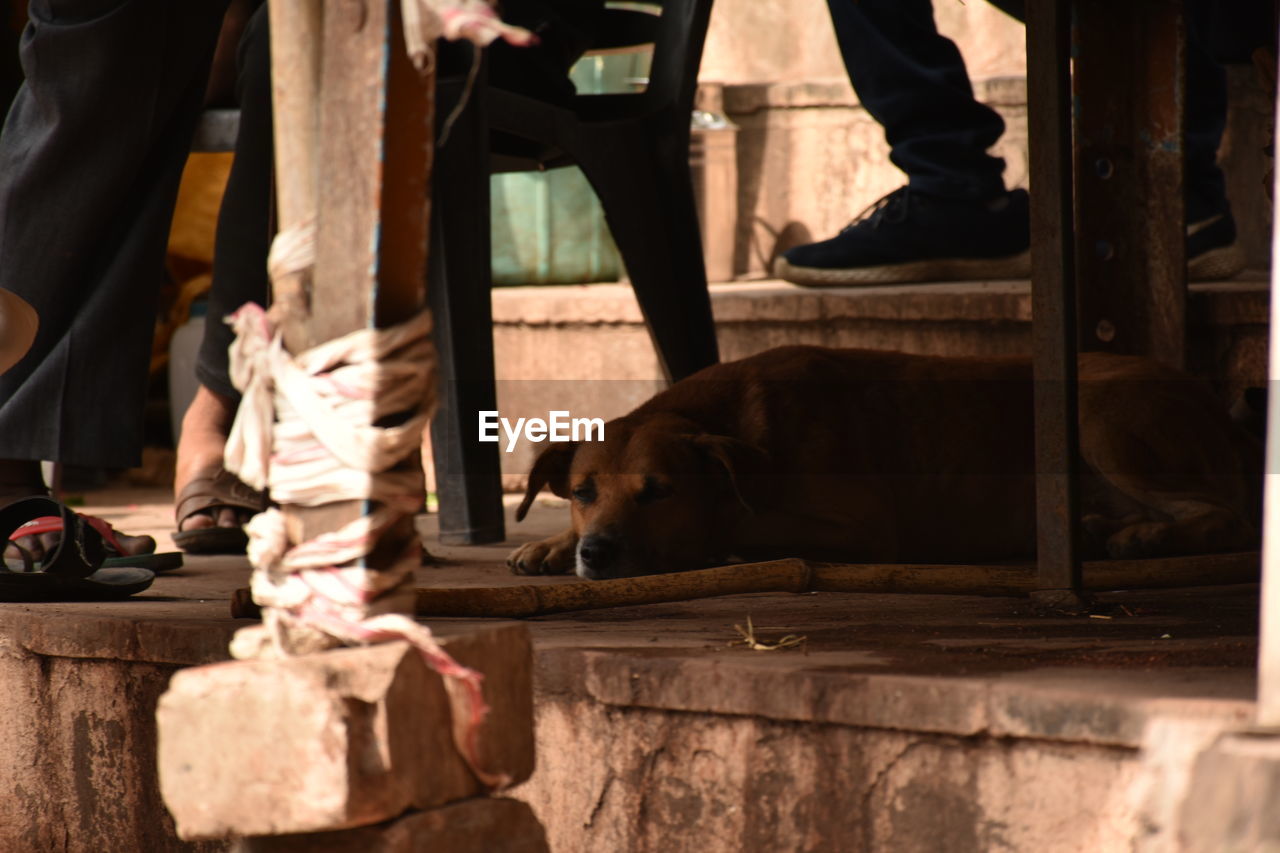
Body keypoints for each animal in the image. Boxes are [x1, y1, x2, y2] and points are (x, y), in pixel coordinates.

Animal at [506, 345, 1259, 578]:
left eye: (659, 491)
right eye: (581, 491)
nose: (598, 553)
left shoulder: (862, 529)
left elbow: (740, 524)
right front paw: (551, 543)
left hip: (1097, 414)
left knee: (1229, 517)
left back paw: (1144, 534)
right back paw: (1101, 529)